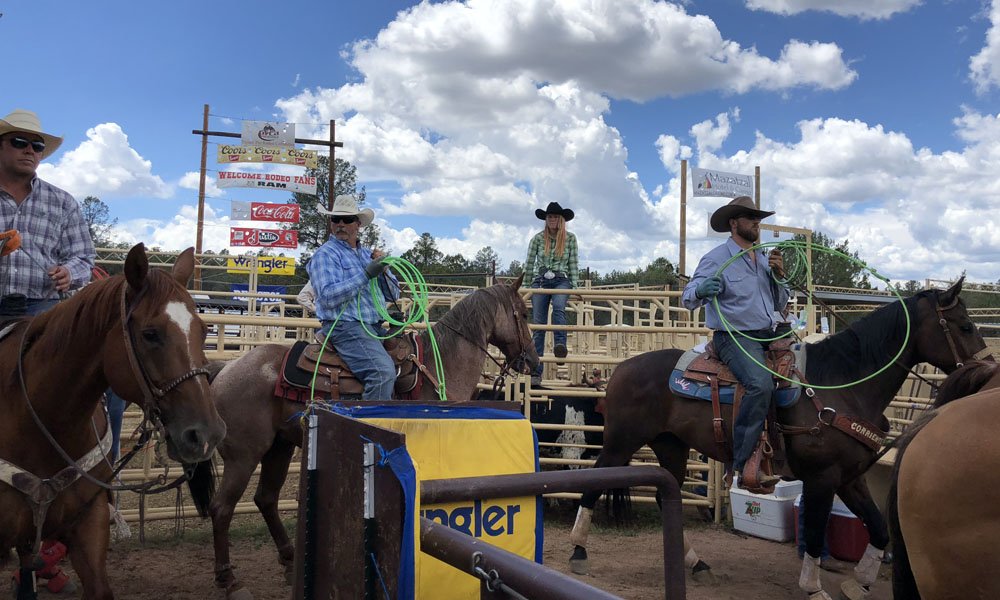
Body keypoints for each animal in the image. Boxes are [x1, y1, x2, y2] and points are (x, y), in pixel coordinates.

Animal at [191, 276, 544, 600]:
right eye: (525, 313)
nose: (534, 362)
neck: (440, 362)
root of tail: (225, 369)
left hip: (279, 447)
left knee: (265, 499)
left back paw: (290, 562)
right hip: (244, 455)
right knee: (222, 507)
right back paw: (229, 580)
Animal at [568, 278, 988, 600]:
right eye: (966, 326)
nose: (988, 369)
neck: (842, 384)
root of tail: (621, 368)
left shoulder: (850, 478)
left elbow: (879, 528)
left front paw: (860, 583)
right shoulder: (821, 478)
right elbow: (815, 534)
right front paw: (814, 587)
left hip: (670, 444)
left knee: (663, 495)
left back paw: (697, 563)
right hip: (621, 440)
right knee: (593, 481)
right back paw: (578, 553)